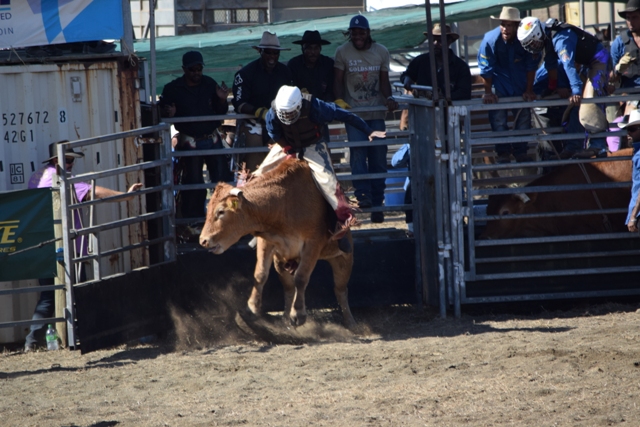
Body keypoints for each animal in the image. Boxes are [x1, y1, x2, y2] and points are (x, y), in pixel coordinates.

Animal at [199, 158, 356, 329]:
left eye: (221, 212)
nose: (203, 240)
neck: (283, 203)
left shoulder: (313, 244)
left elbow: (301, 277)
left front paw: (298, 314)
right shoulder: (266, 242)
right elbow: (260, 274)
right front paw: (251, 309)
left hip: (343, 259)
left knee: (340, 289)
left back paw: (349, 321)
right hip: (281, 262)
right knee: (289, 289)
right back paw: (286, 318)